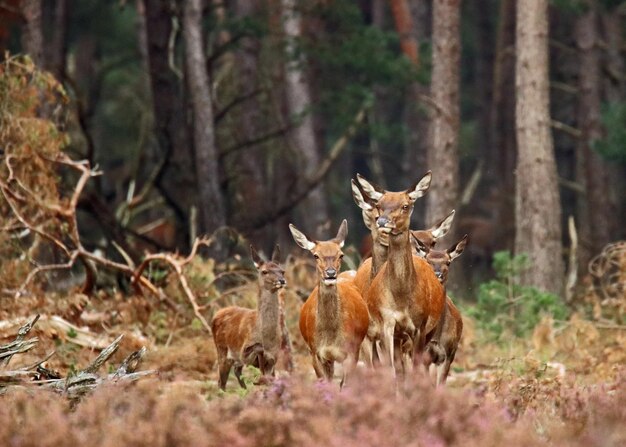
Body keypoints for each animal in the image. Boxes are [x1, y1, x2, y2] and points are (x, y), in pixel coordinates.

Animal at [211, 245, 286, 392]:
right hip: (222, 350)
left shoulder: (274, 358)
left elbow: (270, 378)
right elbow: (258, 349)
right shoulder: (243, 352)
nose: (281, 281)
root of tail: (216, 314)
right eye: (264, 271)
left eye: (282, 271)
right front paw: (258, 381)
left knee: (235, 372)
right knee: (221, 381)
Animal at [288, 220, 370, 388]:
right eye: (315, 255)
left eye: (341, 255)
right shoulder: (316, 352)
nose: (330, 273)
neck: (331, 337)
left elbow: (345, 386)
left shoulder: (351, 352)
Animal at [354, 173, 446, 376]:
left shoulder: (419, 326)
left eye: (405, 205)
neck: (401, 297)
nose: (382, 222)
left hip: (428, 331)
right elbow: (390, 369)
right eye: (380, 204)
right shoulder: (385, 325)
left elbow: (415, 368)